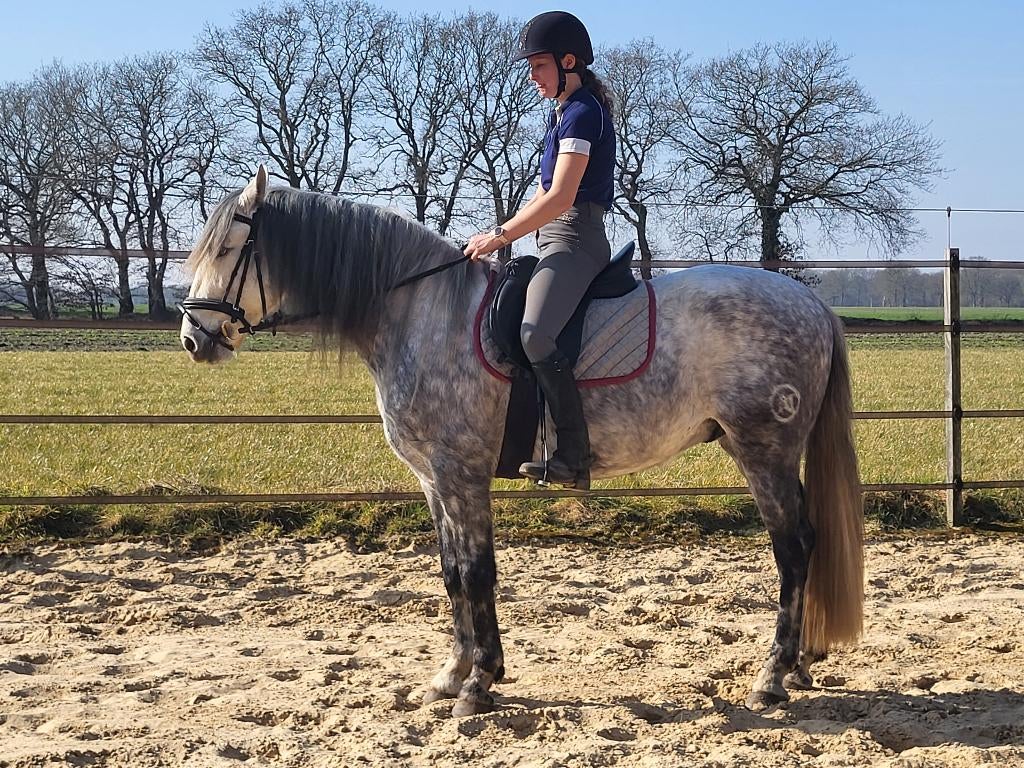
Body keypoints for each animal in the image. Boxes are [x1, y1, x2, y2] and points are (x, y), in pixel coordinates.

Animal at [179, 166, 864, 717]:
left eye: (231, 246)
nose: (193, 338)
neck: (424, 313)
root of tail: (810, 302)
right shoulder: (435, 480)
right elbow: (452, 573)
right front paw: (451, 675)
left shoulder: (462, 474)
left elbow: (477, 572)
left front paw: (479, 684)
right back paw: (801, 664)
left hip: (763, 450)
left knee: (794, 548)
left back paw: (773, 676)